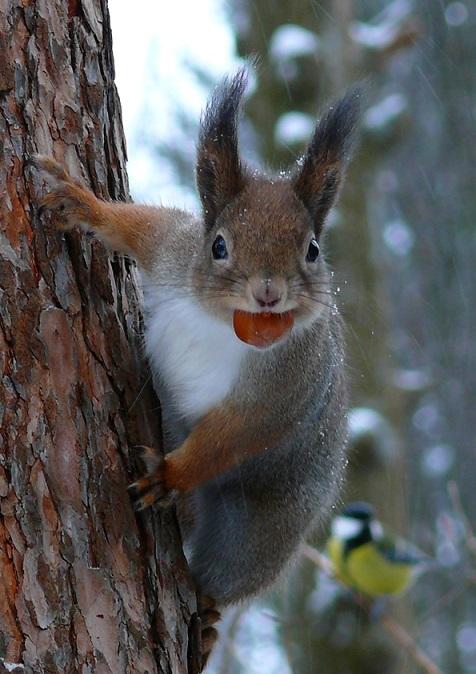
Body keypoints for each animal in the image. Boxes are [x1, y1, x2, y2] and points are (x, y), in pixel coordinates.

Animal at [31, 69, 358, 668]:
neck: (228, 323)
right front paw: (79, 201)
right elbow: (135, 227)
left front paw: (169, 475)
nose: (268, 293)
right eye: (219, 245)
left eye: (313, 250)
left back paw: (205, 618)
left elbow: (233, 436)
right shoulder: (172, 251)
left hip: (258, 529)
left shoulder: (286, 387)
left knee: (225, 576)